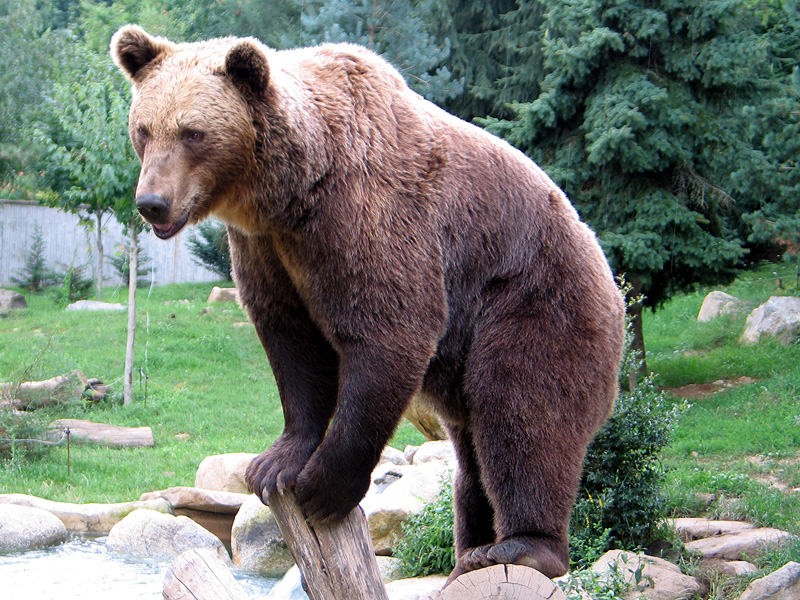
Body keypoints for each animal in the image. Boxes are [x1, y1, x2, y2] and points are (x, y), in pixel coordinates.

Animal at [111, 25, 626, 582]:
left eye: (193, 133)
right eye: (144, 130)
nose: (152, 202)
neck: (291, 192)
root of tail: (613, 283)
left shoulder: (367, 215)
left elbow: (390, 329)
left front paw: (323, 487)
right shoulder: (267, 249)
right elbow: (292, 342)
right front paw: (275, 465)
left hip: (532, 301)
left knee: (522, 411)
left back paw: (522, 547)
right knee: (471, 453)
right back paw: (470, 552)